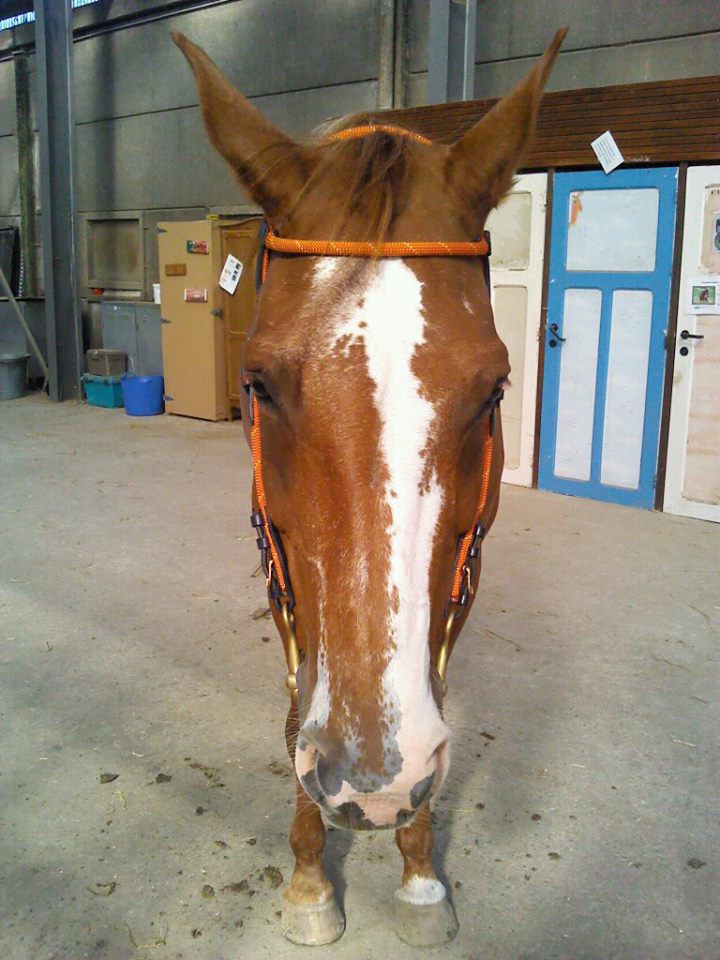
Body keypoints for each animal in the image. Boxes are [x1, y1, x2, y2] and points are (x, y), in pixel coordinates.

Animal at [174, 27, 566, 948]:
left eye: (494, 390)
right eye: (258, 384)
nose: (371, 781)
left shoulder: (463, 568)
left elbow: (435, 683)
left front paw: (420, 872)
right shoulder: (282, 560)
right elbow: (297, 705)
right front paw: (310, 878)